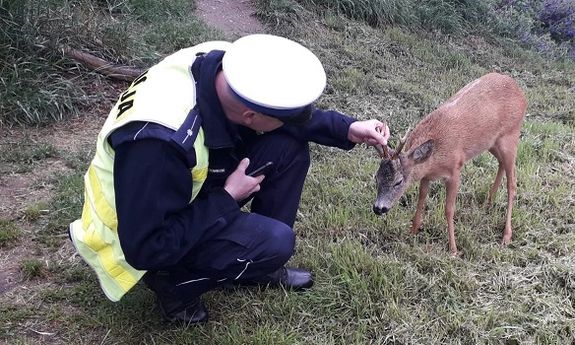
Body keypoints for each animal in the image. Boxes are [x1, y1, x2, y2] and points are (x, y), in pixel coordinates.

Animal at [376, 72, 528, 254]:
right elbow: (421, 198)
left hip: (511, 135)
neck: (434, 159)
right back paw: (488, 203)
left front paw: (453, 249)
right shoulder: (426, 175)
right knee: (501, 164)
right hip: (492, 142)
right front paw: (413, 231)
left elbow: (449, 209)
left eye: (398, 181)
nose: (378, 208)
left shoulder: (455, 169)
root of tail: (520, 92)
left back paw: (506, 235)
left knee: (512, 183)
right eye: (376, 178)